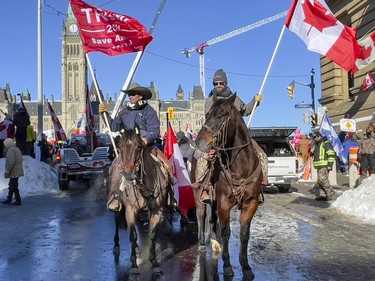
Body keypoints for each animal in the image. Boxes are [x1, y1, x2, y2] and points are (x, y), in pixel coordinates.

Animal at [108, 125, 172, 276]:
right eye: (120, 147)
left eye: (138, 147)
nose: (128, 175)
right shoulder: (130, 210)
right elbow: (132, 235)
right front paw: (133, 266)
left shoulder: (157, 210)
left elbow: (153, 234)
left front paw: (154, 262)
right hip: (118, 207)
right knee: (117, 221)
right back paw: (117, 245)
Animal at [195, 93, 262, 276]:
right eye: (206, 114)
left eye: (221, 114)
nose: (199, 142)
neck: (241, 167)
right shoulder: (224, 202)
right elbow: (226, 232)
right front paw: (226, 265)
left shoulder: (251, 202)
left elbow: (244, 233)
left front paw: (245, 266)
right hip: (199, 196)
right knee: (201, 215)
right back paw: (202, 243)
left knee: (212, 220)